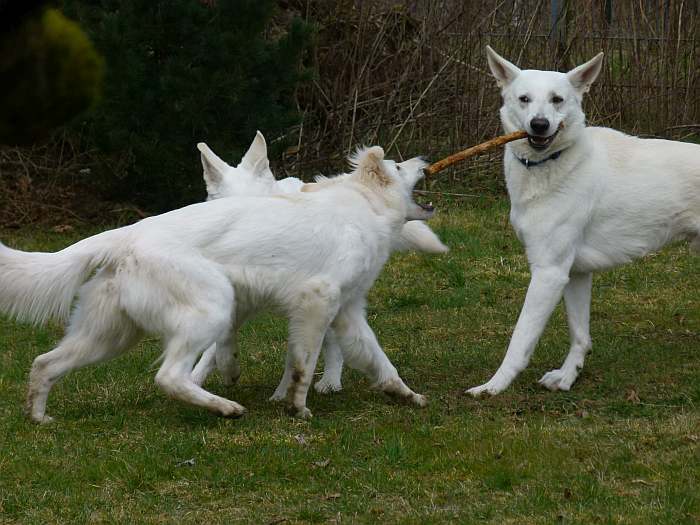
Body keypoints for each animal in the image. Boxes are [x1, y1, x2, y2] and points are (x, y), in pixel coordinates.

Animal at [468, 47, 696, 396]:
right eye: (524, 99)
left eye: (557, 99)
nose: (539, 125)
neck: (554, 162)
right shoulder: (574, 273)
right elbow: (580, 336)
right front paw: (567, 377)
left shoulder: (548, 274)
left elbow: (519, 341)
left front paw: (493, 386)